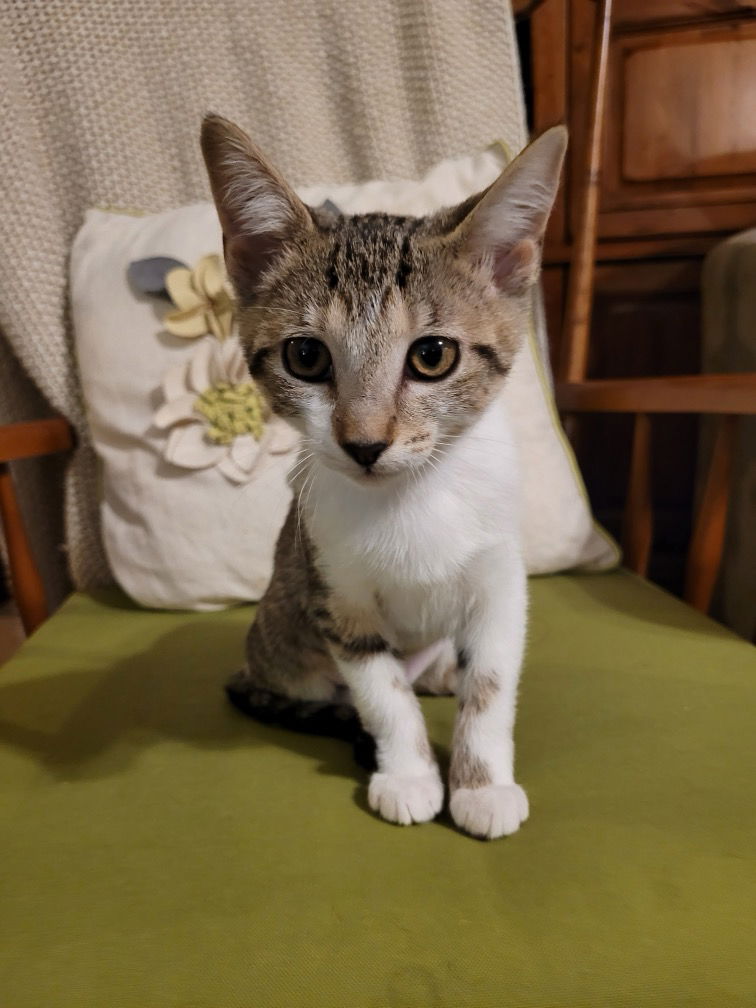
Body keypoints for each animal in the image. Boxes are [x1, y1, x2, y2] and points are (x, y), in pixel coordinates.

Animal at [201, 115, 568, 842]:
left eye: (433, 356)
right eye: (305, 356)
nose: (364, 443)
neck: (412, 497)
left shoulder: (501, 582)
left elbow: (491, 685)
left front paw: (482, 783)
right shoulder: (334, 593)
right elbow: (383, 694)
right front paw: (409, 775)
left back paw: (442, 674)